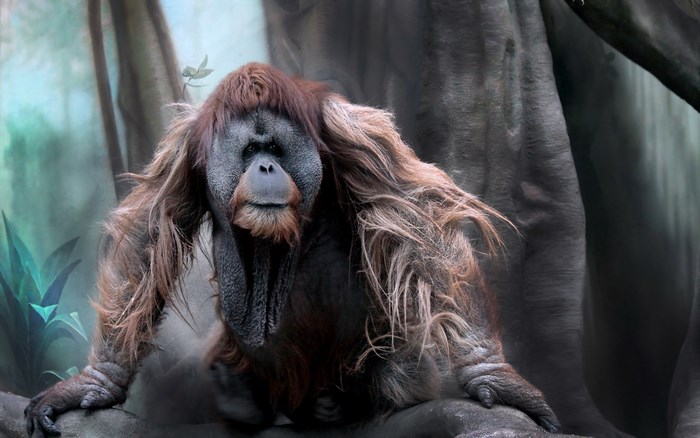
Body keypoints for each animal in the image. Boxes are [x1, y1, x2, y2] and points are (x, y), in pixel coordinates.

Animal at [24, 63, 561, 435]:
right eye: (249, 150)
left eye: (276, 149)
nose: (265, 167)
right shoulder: (183, 146)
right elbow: (149, 233)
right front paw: (95, 384)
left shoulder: (352, 130)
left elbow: (417, 217)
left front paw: (496, 378)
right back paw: (242, 394)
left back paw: (349, 401)